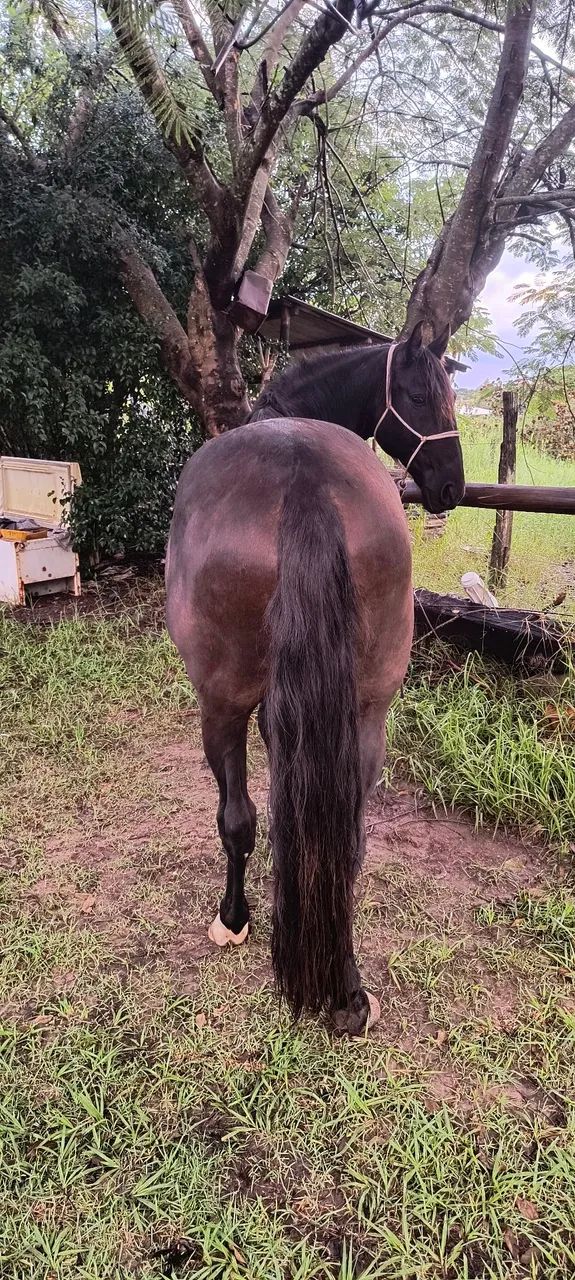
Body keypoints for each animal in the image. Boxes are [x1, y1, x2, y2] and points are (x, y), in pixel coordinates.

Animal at [165, 322, 464, 1036]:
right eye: (419, 396)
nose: (452, 485)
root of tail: (302, 473)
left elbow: (248, 818)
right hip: (367, 710)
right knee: (345, 840)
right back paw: (346, 988)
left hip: (219, 704)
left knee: (237, 819)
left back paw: (234, 920)